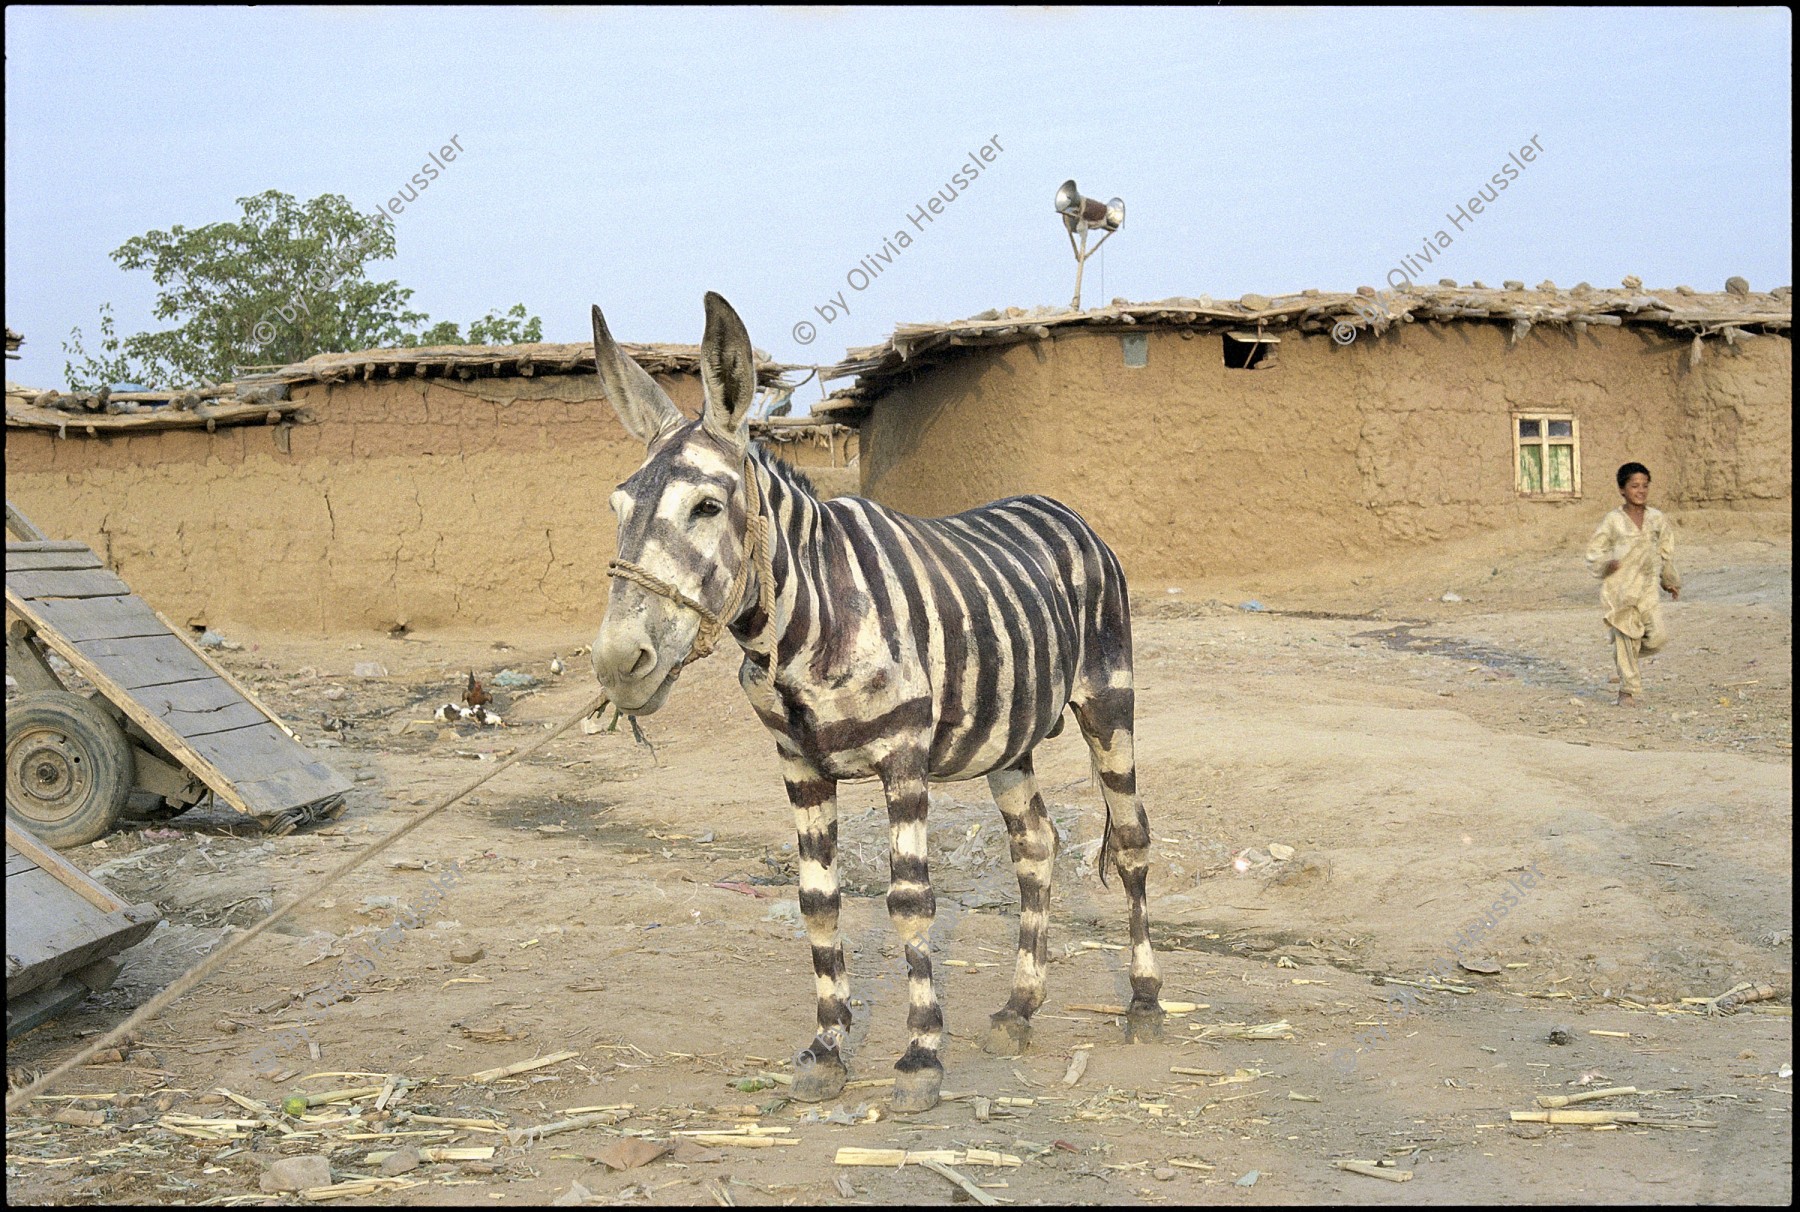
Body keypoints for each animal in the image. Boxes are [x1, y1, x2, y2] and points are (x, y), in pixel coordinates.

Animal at [583, 293, 1159, 1109]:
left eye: (706, 506)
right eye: (617, 507)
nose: (616, 662)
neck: (808, 621)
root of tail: (1059, 507)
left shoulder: (903, 756)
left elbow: (909, 901)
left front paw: (920, 1057)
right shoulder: (799, 766)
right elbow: (818, 902)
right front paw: (827, 1050)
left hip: (1108, 699)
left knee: (1133, 838)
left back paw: (1144, 1002)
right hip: (1008, 738)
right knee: (1035, 846)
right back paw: (1019, 1009)